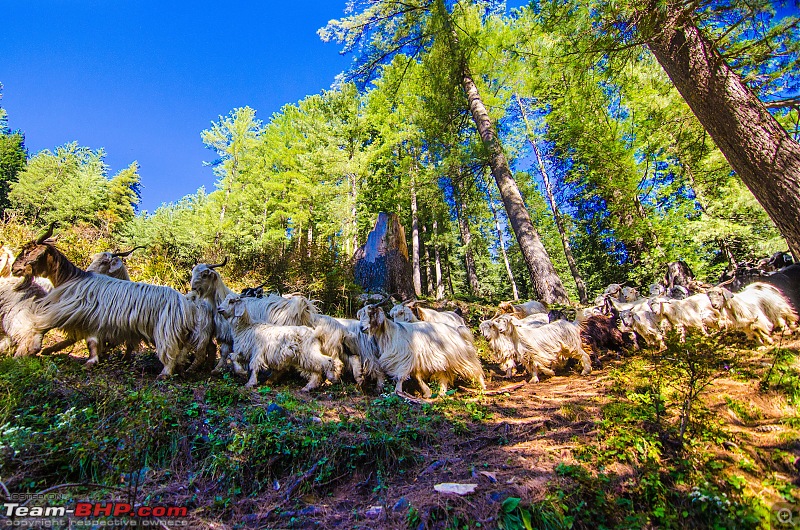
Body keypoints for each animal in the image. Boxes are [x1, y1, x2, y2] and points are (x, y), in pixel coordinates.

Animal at [13, 228, 212, 376]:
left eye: (29, 251)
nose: (15, 269)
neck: (72, 279)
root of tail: (186, 302)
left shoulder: (71, 311)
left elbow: (42, 325)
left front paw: (27, 351)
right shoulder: (94, 320)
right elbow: (91, 342)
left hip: (166, 330)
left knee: (170, 351)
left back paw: (165, 373)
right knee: (183, 351)